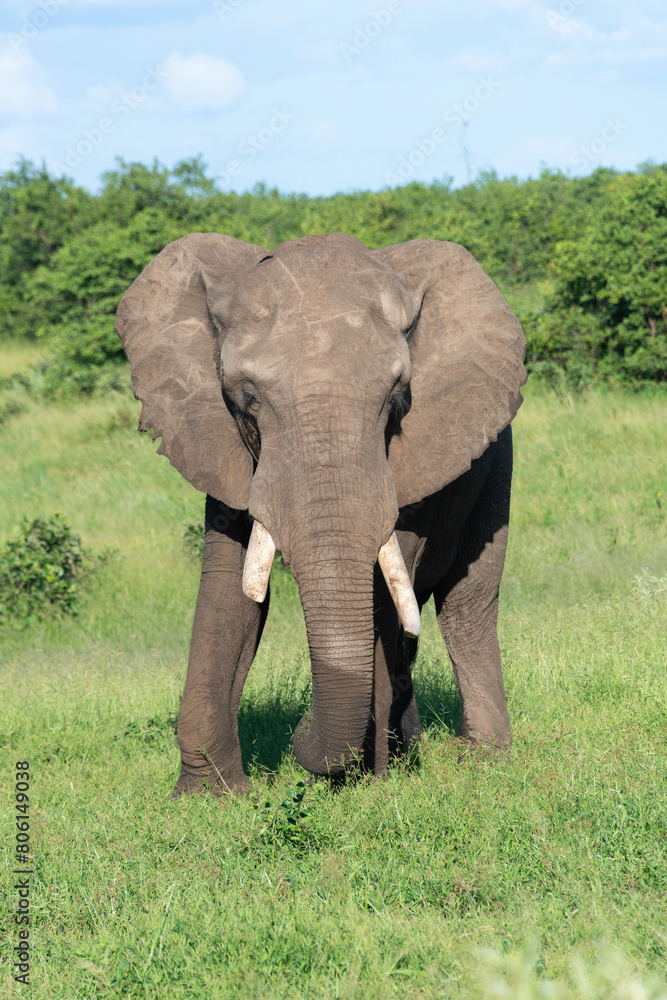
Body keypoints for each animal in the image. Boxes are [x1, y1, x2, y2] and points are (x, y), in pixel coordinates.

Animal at [115, 231, 526, 796]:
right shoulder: (225, 448)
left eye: (398, 396)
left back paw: (481, 759)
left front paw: (372, 786)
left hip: (495, 466)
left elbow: (382, 591)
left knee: (467, 607)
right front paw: (208, 799)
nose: (299, 728)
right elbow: (229, 590)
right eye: (247, 398)